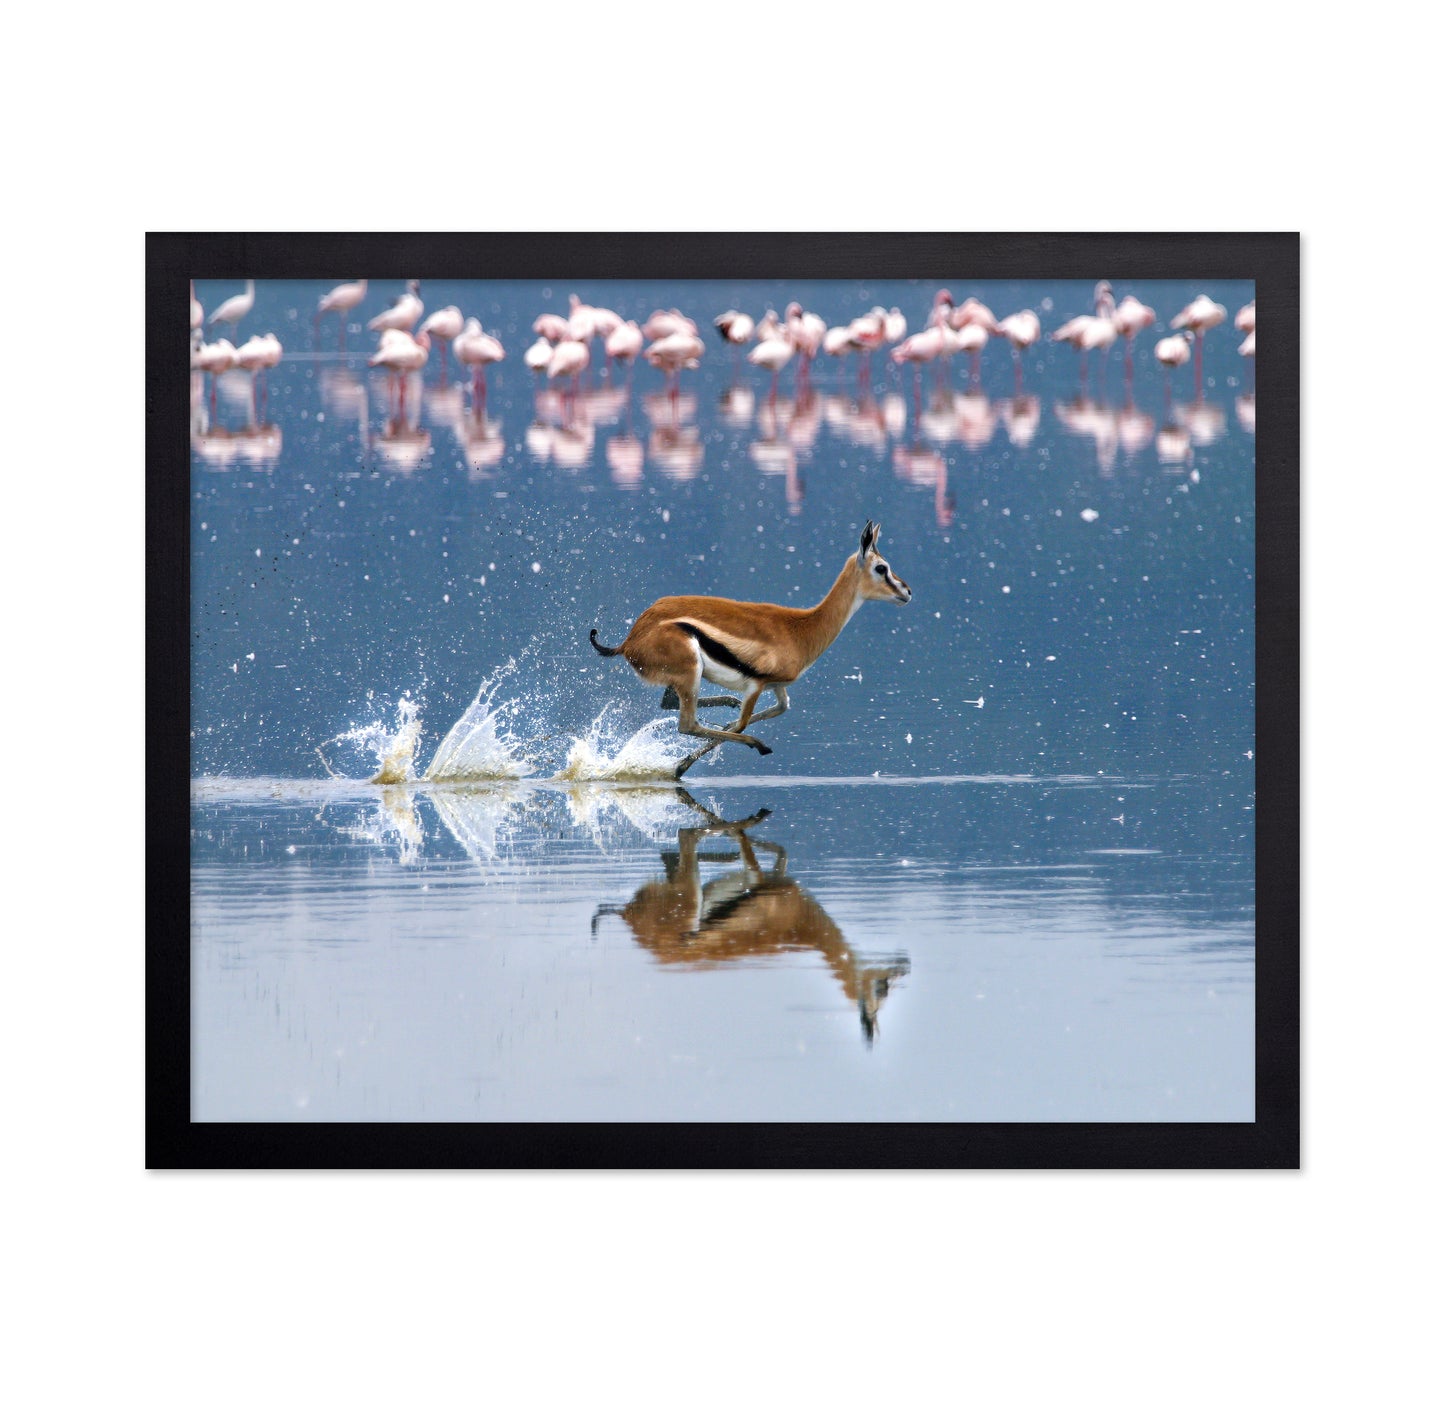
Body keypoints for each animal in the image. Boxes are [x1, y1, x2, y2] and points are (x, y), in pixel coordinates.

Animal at [589, 520, 911, 779]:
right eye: (881, 568)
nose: (907, 592)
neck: (801, 628)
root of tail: (631, 639)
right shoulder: (756, 684)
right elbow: (743, 725)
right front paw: (684, 764)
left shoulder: (777, 686)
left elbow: (776, 710)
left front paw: (690, 756)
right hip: (690, 673)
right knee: (687, 724)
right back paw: (754, 745)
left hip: (684, 679)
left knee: (669, 704)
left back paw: (725, 709)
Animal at [592, 794, 910, 1042]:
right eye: (881, 987)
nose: (902, 966)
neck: (802, 922)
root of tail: (628, 914)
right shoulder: (758, 877)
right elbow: (744, 840)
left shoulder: (775, 873)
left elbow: (778, 849)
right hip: (690, 894)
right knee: (686, 833)